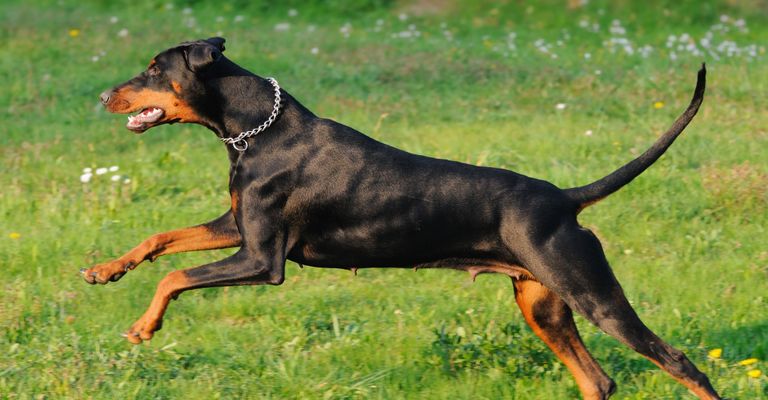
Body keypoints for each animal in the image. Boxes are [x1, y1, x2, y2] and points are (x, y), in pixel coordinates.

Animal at [84, 38, 720, 400]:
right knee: (599, 381)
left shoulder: (262, 260)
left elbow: (174, 276)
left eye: (152, 69)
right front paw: (103, 271)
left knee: (681, 363)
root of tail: (564, 199)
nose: (102, 97)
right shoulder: (236, 229)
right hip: (542, 305)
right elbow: (162, 238)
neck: (253, 131)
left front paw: (144, 327)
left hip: (595, 296)